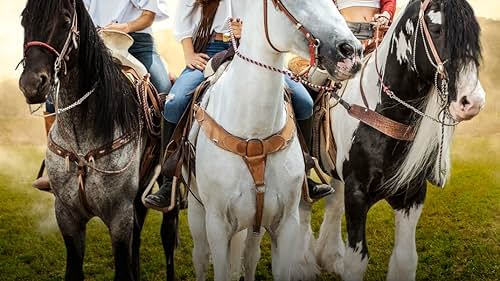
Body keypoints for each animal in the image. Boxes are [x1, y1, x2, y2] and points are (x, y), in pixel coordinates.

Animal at [19, 0, 178, 280]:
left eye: (65, 20)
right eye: (24, 20)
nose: (32, 84)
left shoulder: (119, 217)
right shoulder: (67, 217)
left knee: (168, 234)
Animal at [308, 0, 484, 280]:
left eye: (473, 33)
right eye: (436, 29)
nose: (472, 101)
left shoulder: (412, 196)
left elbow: (405, 260)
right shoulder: (357, 194)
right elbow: (357, 260)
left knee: (332, 203)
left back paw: (329, 257)